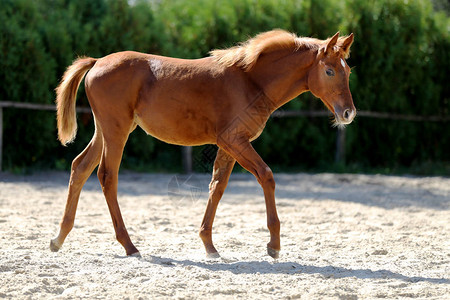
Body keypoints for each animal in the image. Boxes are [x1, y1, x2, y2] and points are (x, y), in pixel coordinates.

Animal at [50, 29, 356, 258]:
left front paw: (209, 245)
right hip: (116, 131)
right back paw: (129, 245)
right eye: (329, 71)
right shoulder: (235, 140)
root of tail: (97, 61)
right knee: (106, 175)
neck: (250, 80)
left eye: (348, 71)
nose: (349, 113)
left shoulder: (229, 145)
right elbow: (266, 176)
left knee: (80, 167)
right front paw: (273, 245)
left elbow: (216, 186)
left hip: (104, 131)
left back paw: (58, 238)